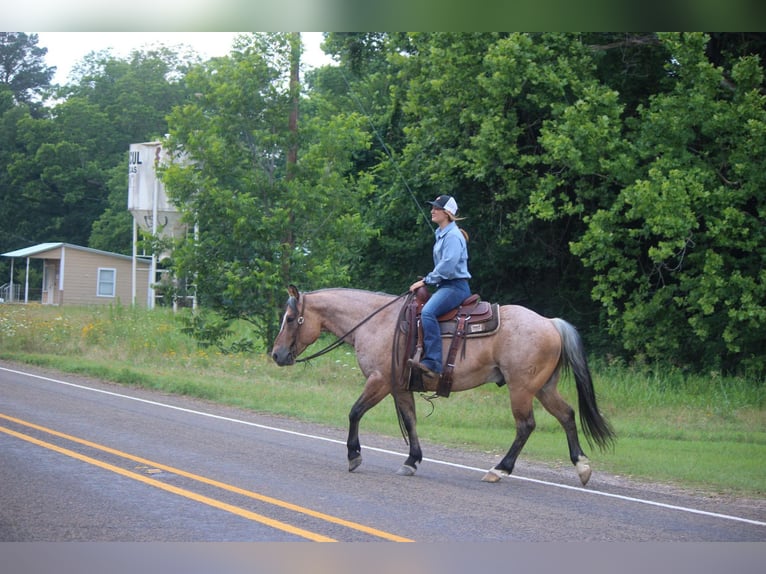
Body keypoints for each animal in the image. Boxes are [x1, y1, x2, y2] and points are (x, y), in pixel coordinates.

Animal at [272, 286, 616, 484]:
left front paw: (354, 456)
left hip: (521, 389)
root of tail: (551, 323)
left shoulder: (380, 381)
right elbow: (410, 422)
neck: (376, 322)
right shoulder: (400, 388)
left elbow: (354, 413)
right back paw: (582, 467)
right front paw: (411, 461)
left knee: (526, 426)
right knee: (567, 415)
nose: (276, 354)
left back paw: (499, 469)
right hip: (543, 388)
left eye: (289, 318)